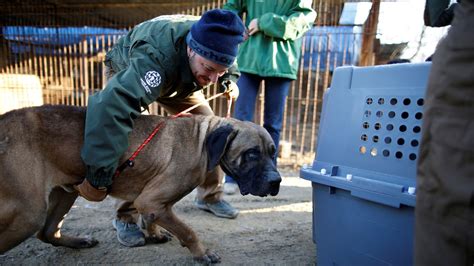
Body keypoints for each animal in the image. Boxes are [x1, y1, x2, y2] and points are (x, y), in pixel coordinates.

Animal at [0, 104, 282, 262]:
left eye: (273, 152)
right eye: (252, 154)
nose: (276, 181)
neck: (202, 139)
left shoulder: (150, 201)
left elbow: (152, 217)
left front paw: (154, 233)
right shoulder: (151, 200)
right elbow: (187, 230)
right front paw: (202, 253)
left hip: (65, 193)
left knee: (48, 232)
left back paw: (78, 241)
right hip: (29, 213)